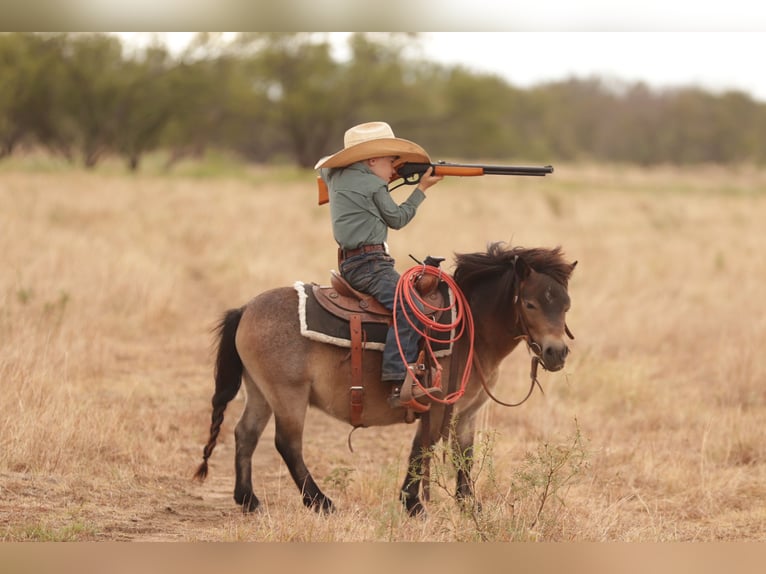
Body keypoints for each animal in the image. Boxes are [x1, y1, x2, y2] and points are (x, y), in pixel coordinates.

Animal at [193, 242, 576, 516]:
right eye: (529, 304)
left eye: (566, 305)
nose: (556, 352)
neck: (471, 332)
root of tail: (245, 309)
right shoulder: (436, 405)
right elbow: (422, 448)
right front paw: (414, 504)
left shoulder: (466, 412)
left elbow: (462, 455)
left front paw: (470, 506)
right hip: (288, 395)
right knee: (287, 444)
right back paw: (320, 502)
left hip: (260, 392)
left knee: (245, 434)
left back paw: (248, 500)